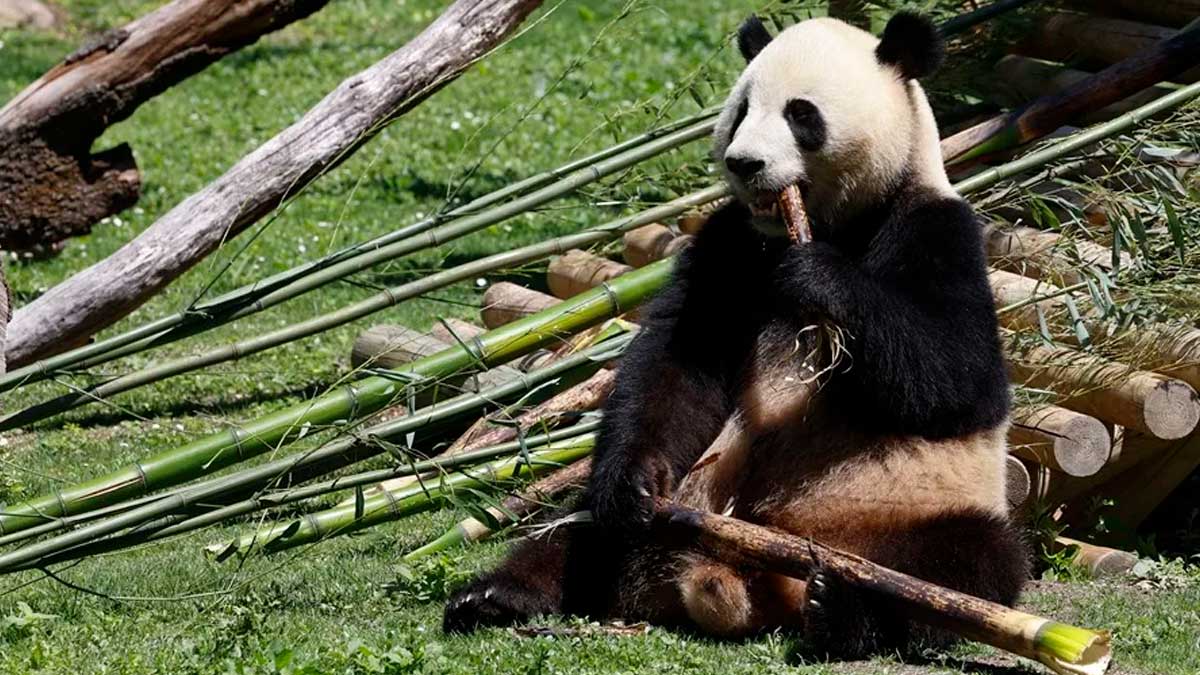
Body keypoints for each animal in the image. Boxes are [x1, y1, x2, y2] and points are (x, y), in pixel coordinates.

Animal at [443, 12, 1029, 656]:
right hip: (682, 510)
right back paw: (498, 594)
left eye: (802, 114)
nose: (744, 163)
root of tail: (739, 581)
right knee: (581, 532)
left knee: (968, 563)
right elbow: (675, 364)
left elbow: (960, 379)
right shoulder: (727, 246)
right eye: (742, 109)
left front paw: (818, 277)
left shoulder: (938, 228)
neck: (826, 222)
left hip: (914, 513)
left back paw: (842, 609)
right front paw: (635, 480)